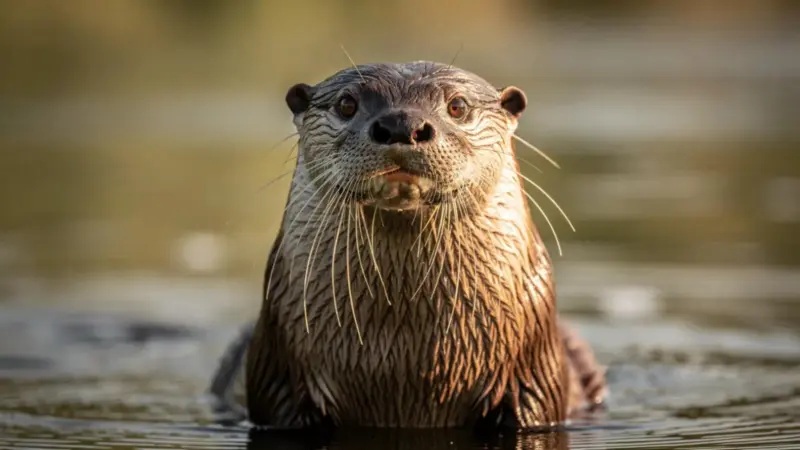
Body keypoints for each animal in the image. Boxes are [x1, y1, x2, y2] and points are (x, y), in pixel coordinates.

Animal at [209, 61, 607, 430]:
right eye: (346, 103)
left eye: (458, 105)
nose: (401, 124)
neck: (407, 362)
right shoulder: (283, 380)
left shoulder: (530, 376)